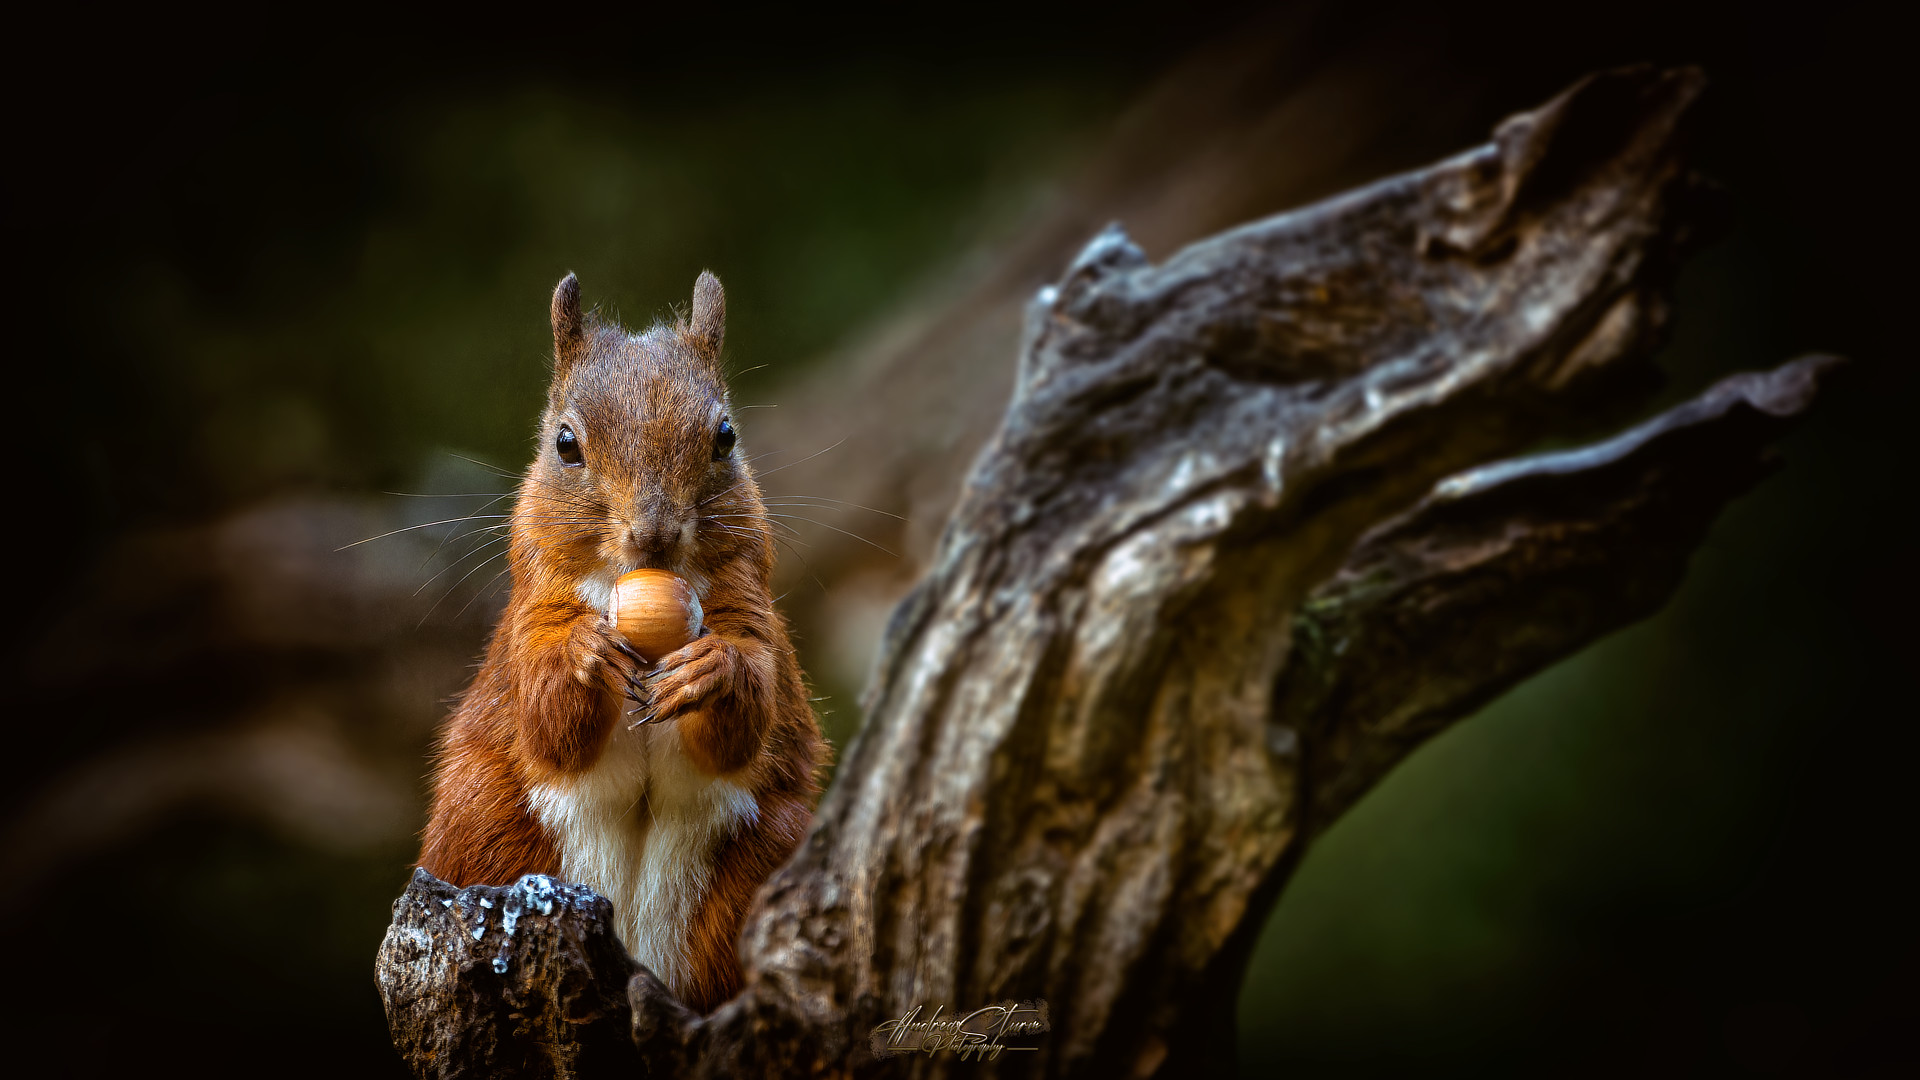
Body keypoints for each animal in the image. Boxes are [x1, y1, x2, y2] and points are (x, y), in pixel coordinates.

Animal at [420, 269, 825, 1006]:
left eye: (726, 436)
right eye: (565, 444)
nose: (654, 532)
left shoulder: (754, 616)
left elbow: (747, 714)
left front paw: (712, 669)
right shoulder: (529, 627)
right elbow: (549, 722)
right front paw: (587, 655)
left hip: (769, 851)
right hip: (481, 830)